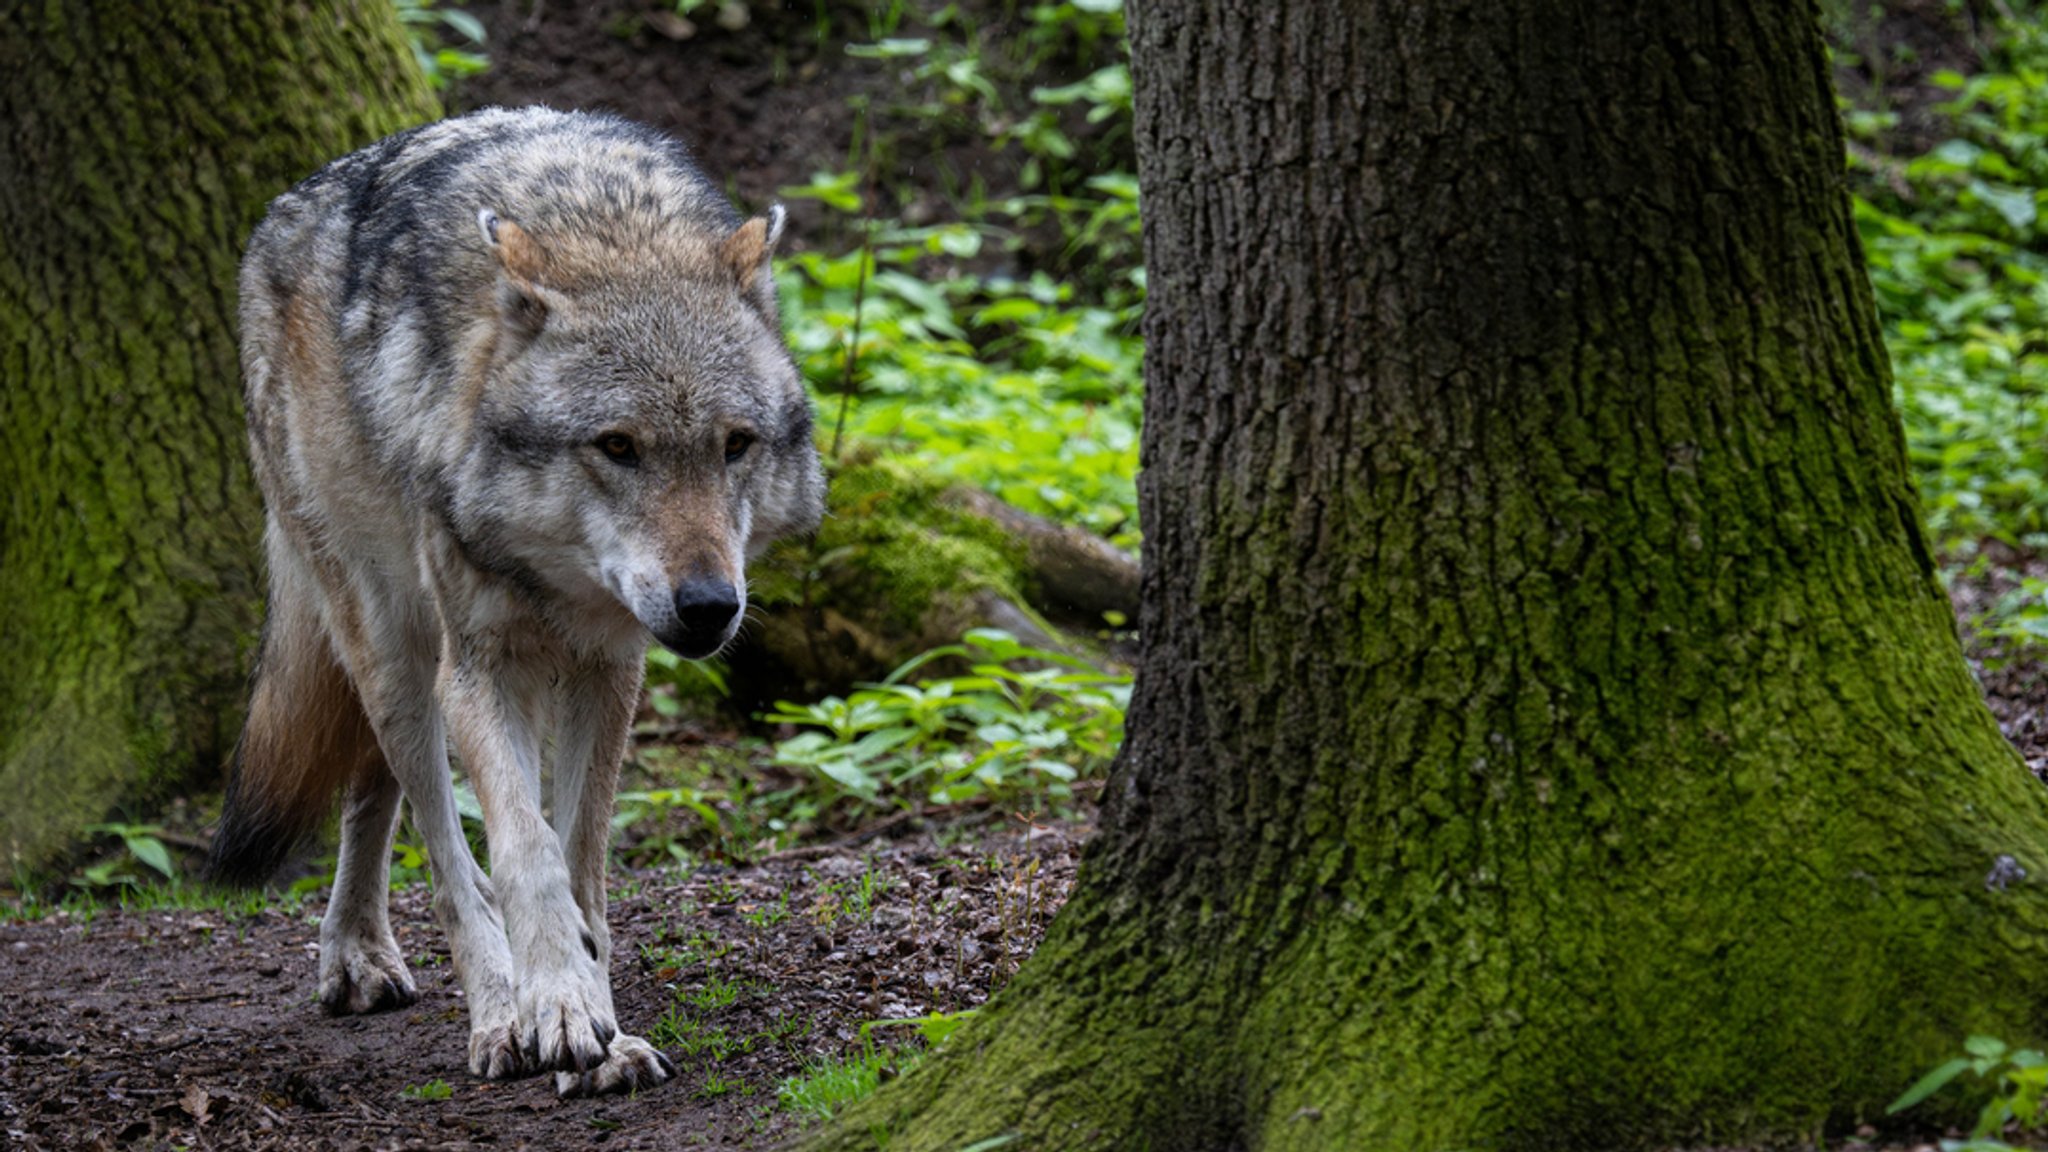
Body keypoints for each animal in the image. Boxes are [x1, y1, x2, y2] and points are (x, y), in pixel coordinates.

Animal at [203, 107, 819, 1090]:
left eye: (736, 444)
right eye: (617, 446)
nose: (709, 606)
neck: (606, 226)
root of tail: (282, 212)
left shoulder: (609, 670)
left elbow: (582, 866)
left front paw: (601, 1027)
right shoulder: (483, 670)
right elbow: (524, 854)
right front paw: (555, 1009)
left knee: (372, 790)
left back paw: (364, 953)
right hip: (396, 649)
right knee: (443, 849)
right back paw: (491, 1015)